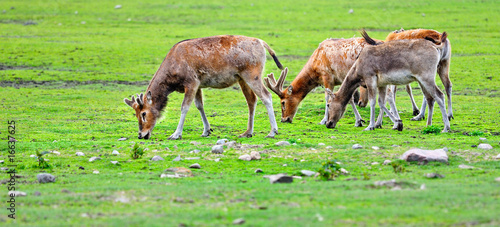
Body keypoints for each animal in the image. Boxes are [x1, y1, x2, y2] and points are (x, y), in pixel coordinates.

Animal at [123, 35, 284, 140]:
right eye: (136, 114)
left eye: (143, 113)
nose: (141, 135)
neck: (173, 75)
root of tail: (262, 43)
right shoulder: (198, 85)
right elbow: (199, 105)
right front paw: (206, 130)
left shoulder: (191, 82)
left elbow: (185, 107)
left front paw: (175, 134)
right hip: (242, 78)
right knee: (252, 100)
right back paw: (247, 132)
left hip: (253, 75)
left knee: (266, 96)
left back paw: (272, 131)